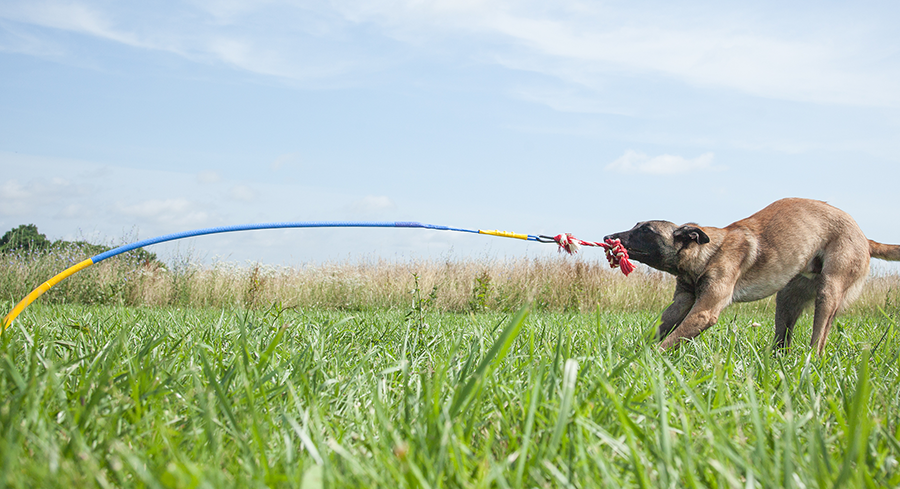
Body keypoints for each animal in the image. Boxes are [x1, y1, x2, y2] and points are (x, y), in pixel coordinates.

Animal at [604, 196, 900, 352]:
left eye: (646, 231)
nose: (608, 237)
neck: (707, 252)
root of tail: (865, 237)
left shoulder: (704, 311)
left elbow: (670, 340)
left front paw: (647, 360)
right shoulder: (682, 302)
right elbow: (661, 326)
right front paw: (630, 354)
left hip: (829, 292)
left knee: (819, 339)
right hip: (787, 299)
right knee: (784, 338)